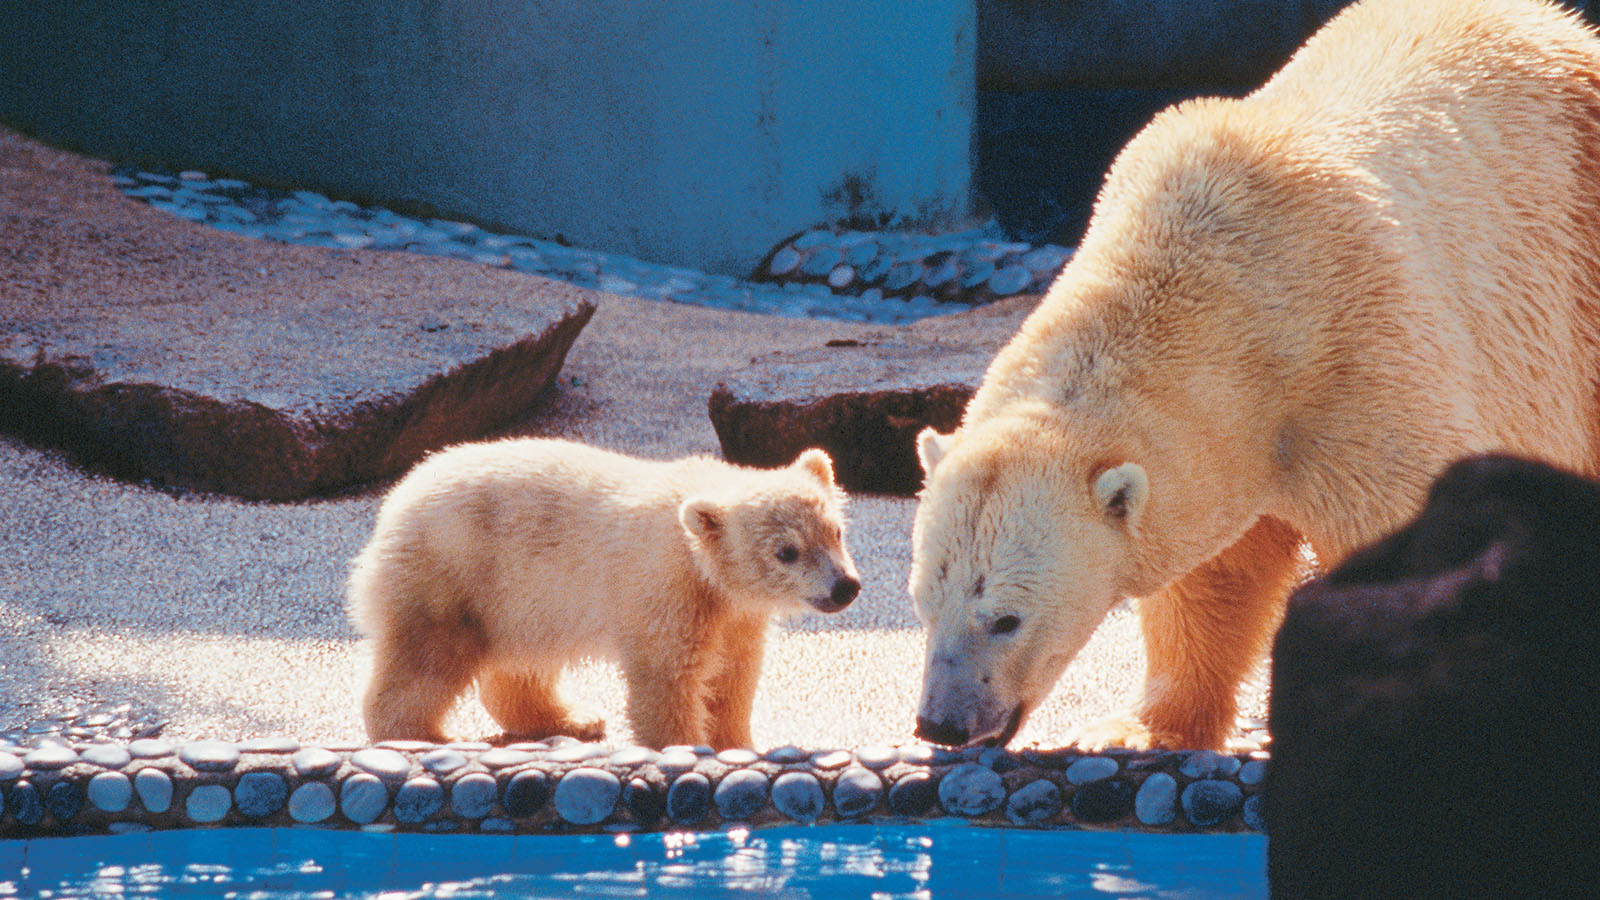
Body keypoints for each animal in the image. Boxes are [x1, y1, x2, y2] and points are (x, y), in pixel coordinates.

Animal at [915, 0, 1600, 746]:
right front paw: (1138, 730)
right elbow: (1215, 576)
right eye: (923, 602)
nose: (940, 724)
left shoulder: (1361, 358)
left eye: (1006, 618)